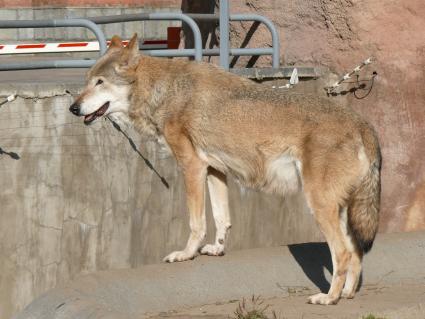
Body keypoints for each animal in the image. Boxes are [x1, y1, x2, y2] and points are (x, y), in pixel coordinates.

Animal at [69, 33, 380, 306]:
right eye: (86, 82)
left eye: (100, 82)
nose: (73, 107)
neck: (167, 90)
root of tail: (363, 125)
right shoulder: (215, 170)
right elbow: (222, 218)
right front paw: (217, 249)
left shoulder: (192, 166)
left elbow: (196, 222)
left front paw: (186, 254)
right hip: (340, 210)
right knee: (357, 253)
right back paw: (348, 294)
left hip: (319, 206)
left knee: (342, 253)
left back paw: (329, 298)